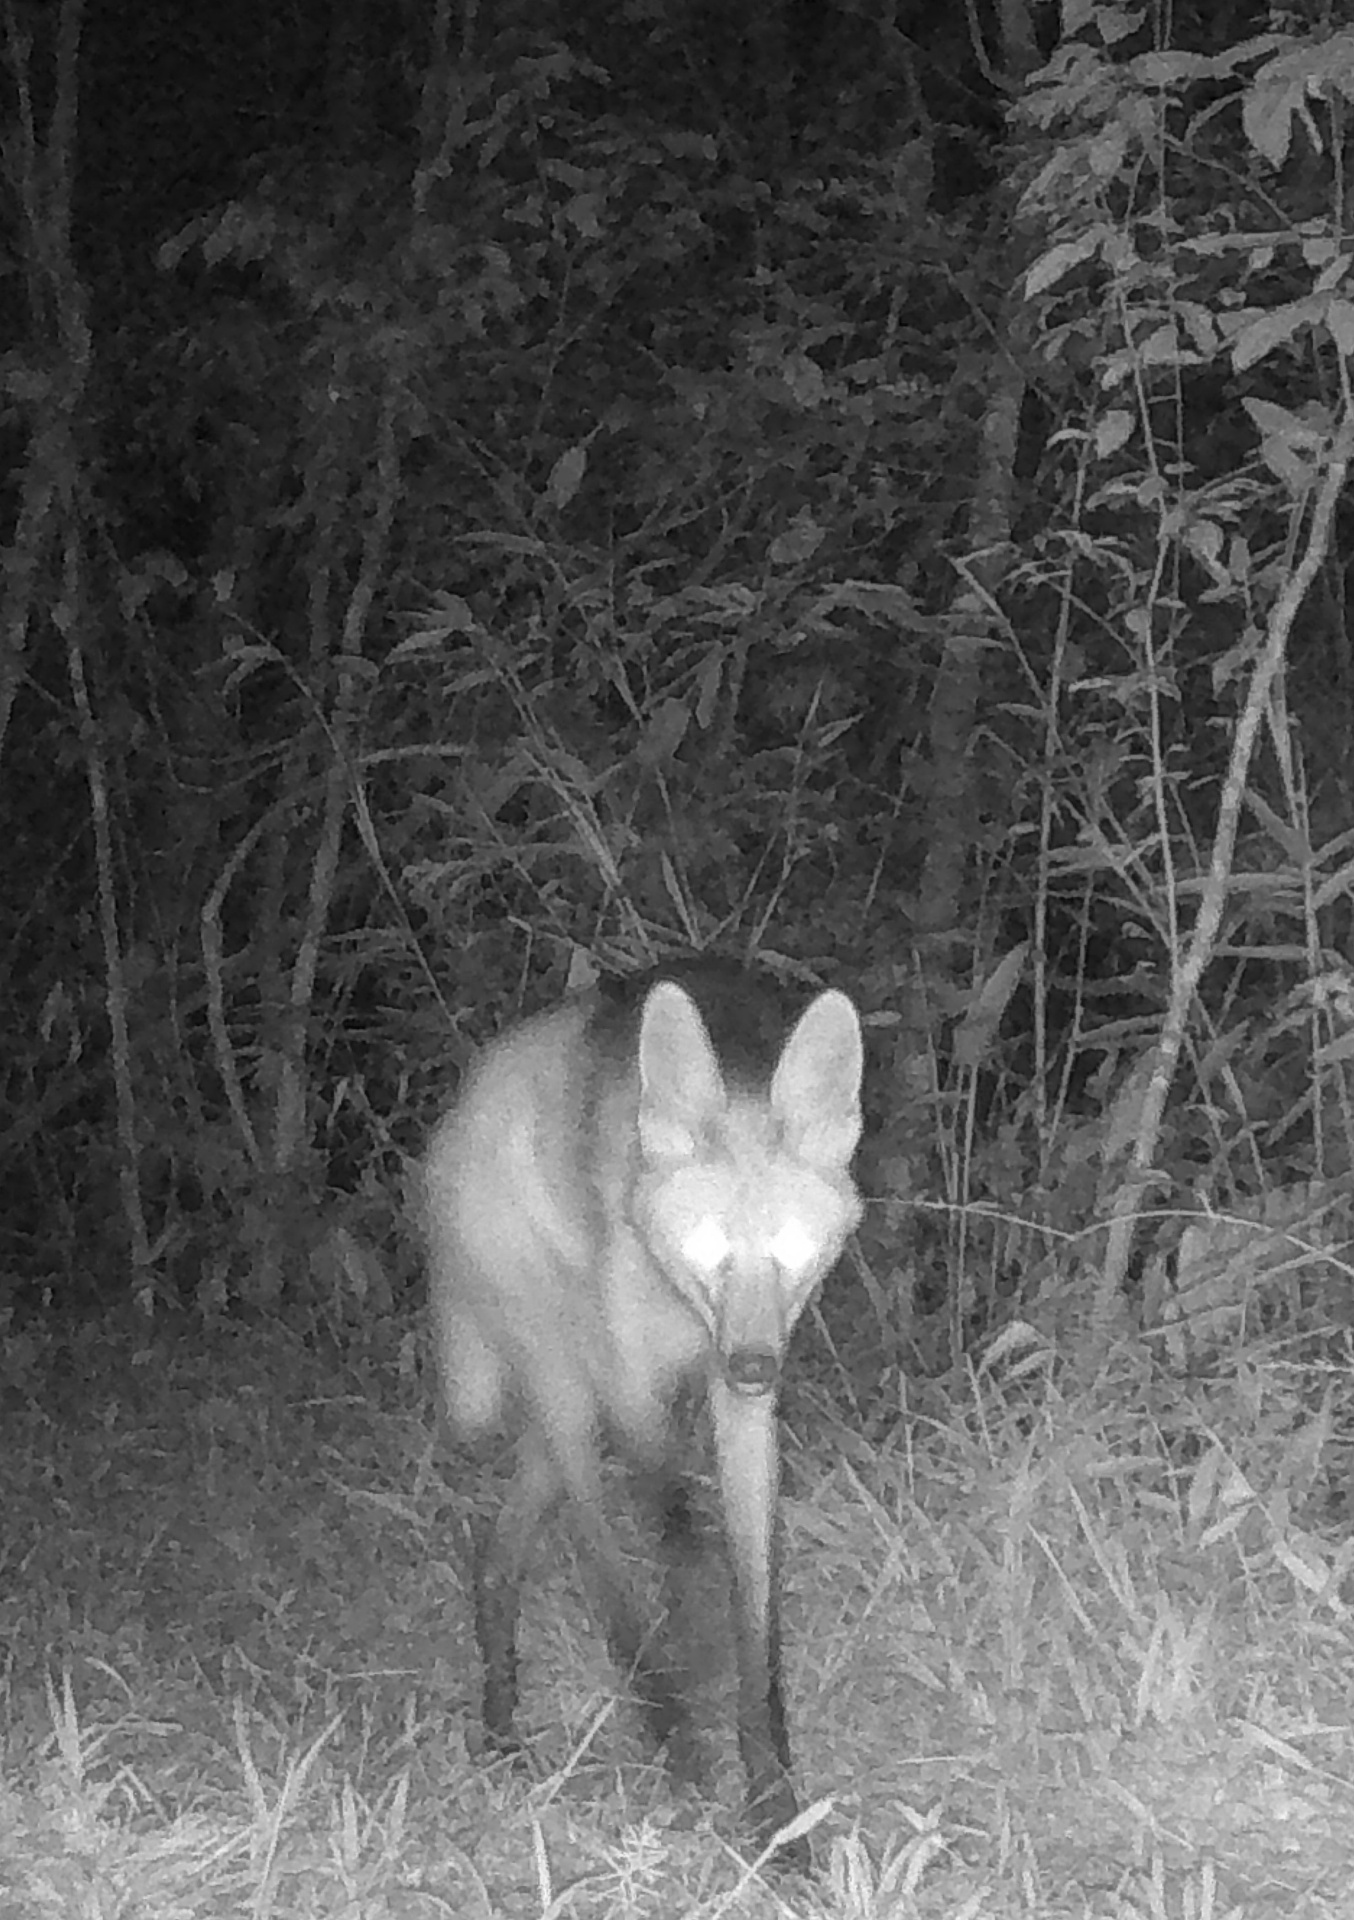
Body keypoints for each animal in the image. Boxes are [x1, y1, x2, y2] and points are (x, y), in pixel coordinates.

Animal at [421, 961, 864, 1859]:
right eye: (710, 1248)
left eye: (790, 1250)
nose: (754, 1365)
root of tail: (458, 1113)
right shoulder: (638, 1397)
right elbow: (679, 1553)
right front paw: (698, 1739)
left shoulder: (740, 1409)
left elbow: (755, 1621)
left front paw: (776, 1814)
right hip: (568, 1389)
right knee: (604, 1574)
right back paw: (670, 1745)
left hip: (566, 1419)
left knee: (498, 1556)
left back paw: (502, 1728)